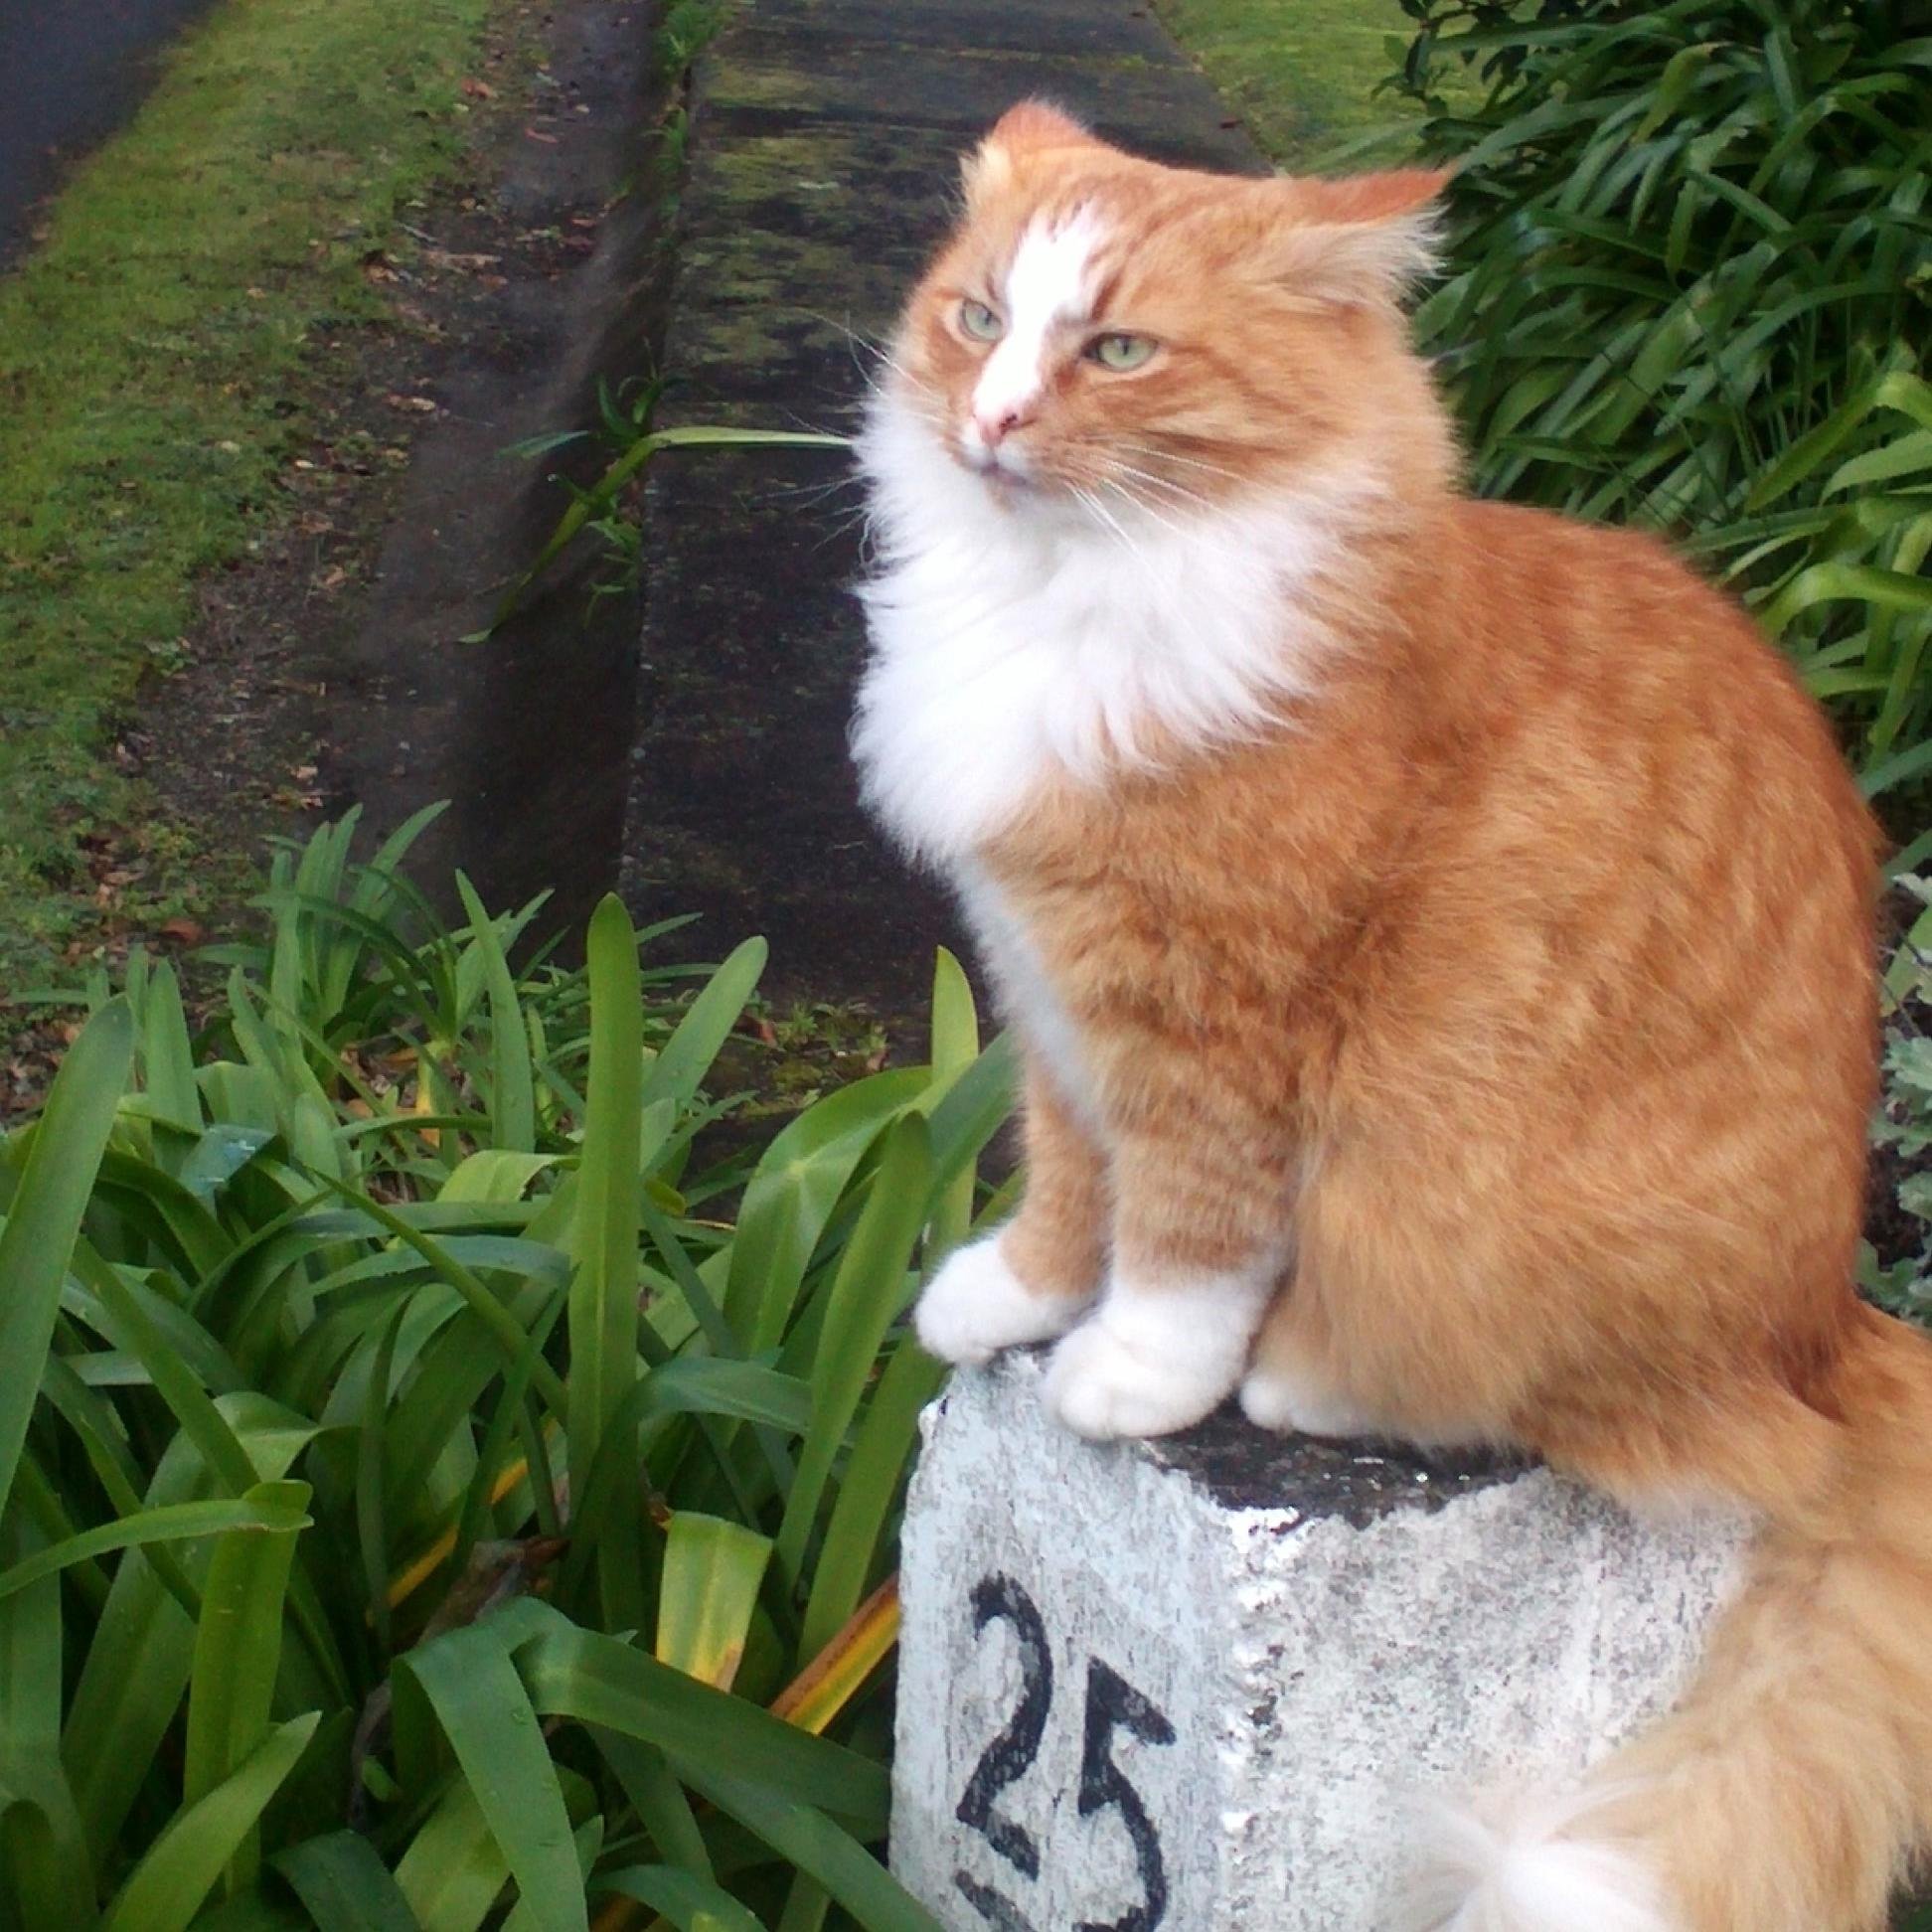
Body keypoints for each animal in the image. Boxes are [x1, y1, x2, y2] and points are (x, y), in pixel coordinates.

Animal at [850, 101, 1932, 1932]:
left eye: (1117, 351)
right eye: (980, 320)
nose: (990, 421)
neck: (1075, 597)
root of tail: (1821, 1328)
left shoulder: (1208, 1023)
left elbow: (1184, 1239)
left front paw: (1127, 1374)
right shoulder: (1050, 993)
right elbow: (1068, 1183)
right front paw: (1014, 1299)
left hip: (1446, 1199)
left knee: (1563, 1412)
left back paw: (1306, 1385)